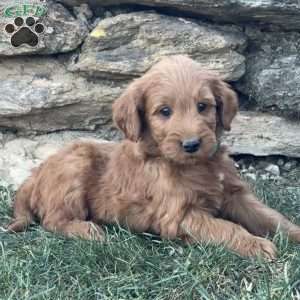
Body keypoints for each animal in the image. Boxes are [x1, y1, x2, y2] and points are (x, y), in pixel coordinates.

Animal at [7, 55, 300, 258]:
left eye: (203, 106)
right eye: (164, 111)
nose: (192, 144)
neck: (193, 166)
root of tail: (33, 176)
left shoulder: (234, 194)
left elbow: (269, 216)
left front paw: (294, 233)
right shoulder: (178, 216)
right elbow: (226, 228)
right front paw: (255, 244)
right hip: (75, 165)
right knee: (52, 220)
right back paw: (87, 230)